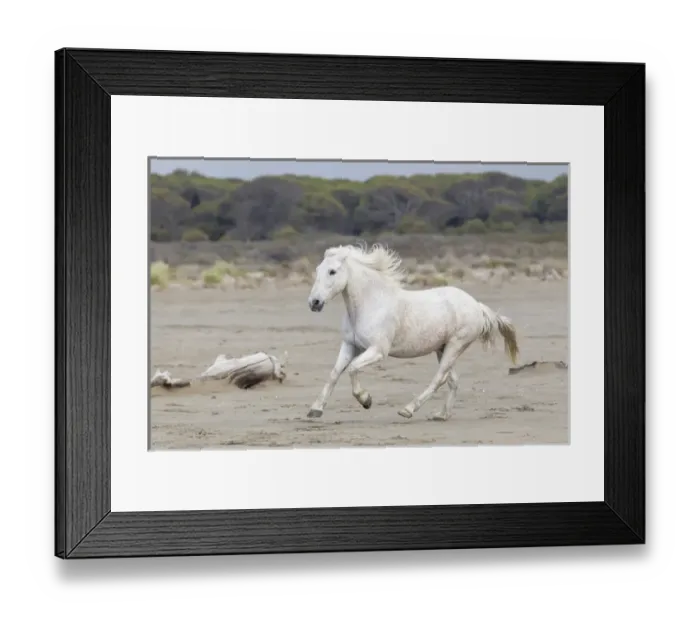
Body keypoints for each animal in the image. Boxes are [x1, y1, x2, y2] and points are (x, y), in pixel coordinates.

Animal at [306, 242, 520, 422]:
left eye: (332, 271)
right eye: (317, 270)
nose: (314, 303)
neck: (369, 304)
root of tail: (477, 306)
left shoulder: (378, 351)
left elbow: (352, 368)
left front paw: (366, 400)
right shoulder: (350, 345)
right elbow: (334, 373)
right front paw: (315, 409)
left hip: (456, 345)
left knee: (439, 379)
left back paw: (408, 410)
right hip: (442, 348)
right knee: (452, 380)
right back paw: (441, 415)